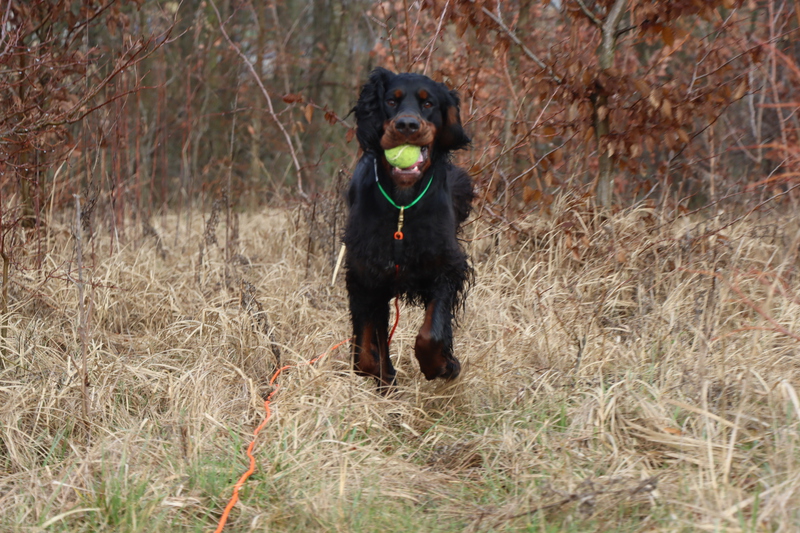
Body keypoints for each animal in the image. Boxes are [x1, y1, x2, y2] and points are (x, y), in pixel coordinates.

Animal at [343, 67, 473, 389]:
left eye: (428, 103)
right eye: (391, 100)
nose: (406, 125)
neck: (402, 203)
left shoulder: (446, 267)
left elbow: (431, 333)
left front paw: (442, 365)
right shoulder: (366, 276)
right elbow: (364, 356)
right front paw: (385, 376)